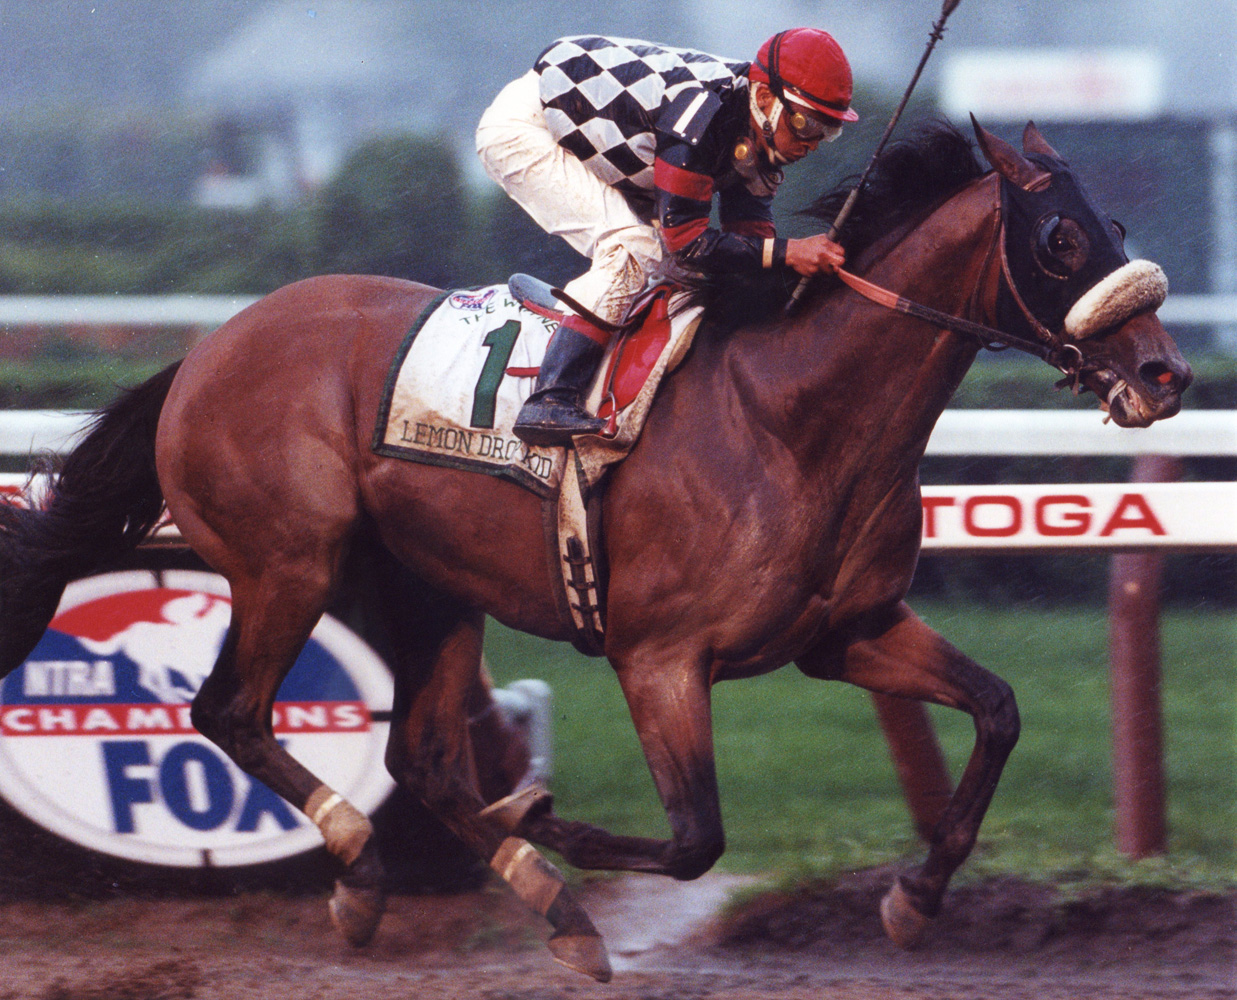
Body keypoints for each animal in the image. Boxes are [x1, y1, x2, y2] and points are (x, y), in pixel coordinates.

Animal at [0, 121, 1187, 980]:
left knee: (420, 756)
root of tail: (209, 348)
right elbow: (695, 836)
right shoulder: (656, 657)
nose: (1165, 374)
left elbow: (997, 710)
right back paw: (368, 869)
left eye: (1118, 219)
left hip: (431, 584)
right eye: (1061, 241)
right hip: (288, 563)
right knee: (232, 711)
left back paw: (543, 902)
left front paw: (914, 896)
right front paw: (542, 812)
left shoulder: (849, 632)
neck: (792, 419)